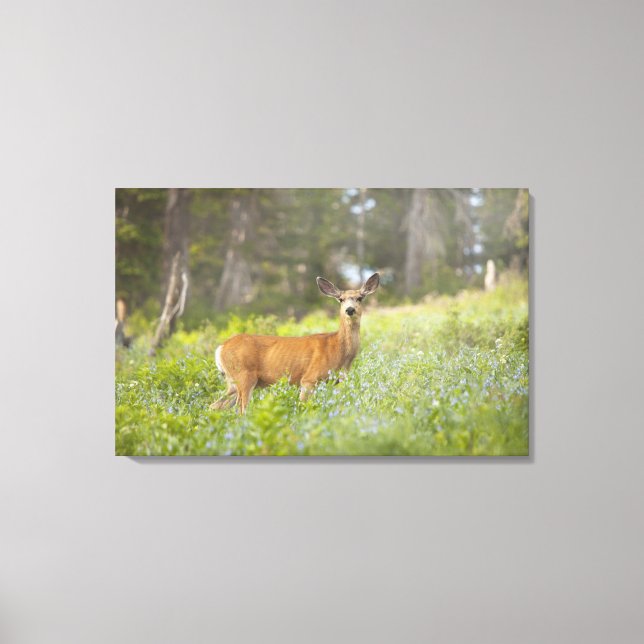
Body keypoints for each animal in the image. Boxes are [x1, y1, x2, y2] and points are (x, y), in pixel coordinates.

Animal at [210, 273, 380, 413]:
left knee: (214, 405)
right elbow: (305, 407)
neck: (338, 349)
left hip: (232, 382)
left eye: (360, 298)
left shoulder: (335, 382)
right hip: (244, 375)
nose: (350, 310)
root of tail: (220, 348)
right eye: (341, 299)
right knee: (241, 410)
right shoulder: (309, 379)